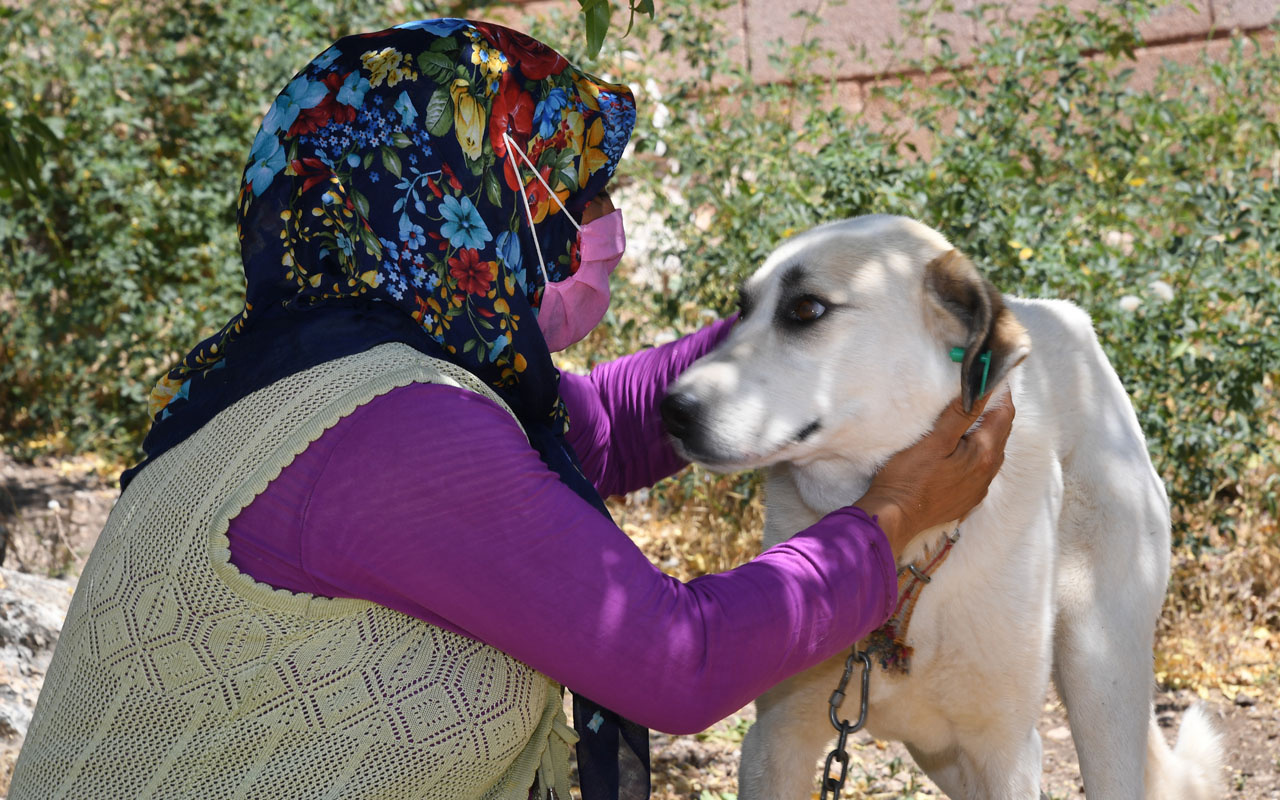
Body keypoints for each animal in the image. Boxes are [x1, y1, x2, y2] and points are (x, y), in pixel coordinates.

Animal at [665, 215, 1223, 793]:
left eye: (806, 310)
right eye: (741, 309)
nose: (670, 410)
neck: (911, 544)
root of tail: (1062, 317)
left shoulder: (1007, 754)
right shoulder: (775, 743)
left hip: (1100, 677)